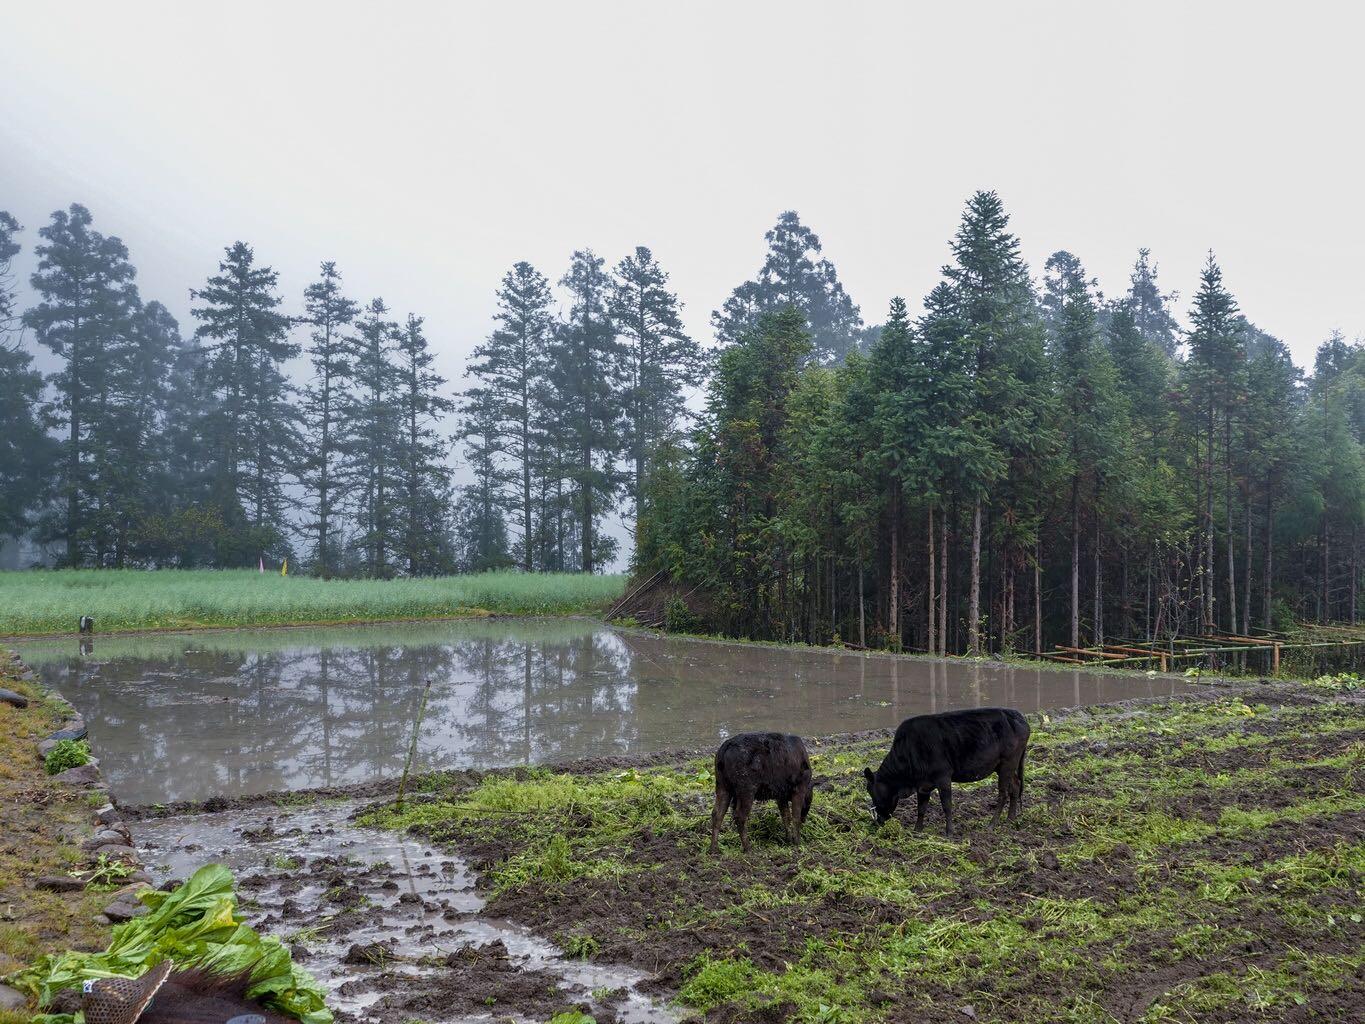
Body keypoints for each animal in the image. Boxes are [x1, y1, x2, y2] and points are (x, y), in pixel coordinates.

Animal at [868, 709, 1026, 835]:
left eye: (872, 792)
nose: (878, 821)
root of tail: (1017, 715)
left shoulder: (943, 776)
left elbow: (947, 805)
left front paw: (949, 832)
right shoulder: (923, 784)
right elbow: (921, 808)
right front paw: (917, 830)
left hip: (1007, 763)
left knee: (1003, 794)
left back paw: (992, 825)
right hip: (1004, 766)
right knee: (1015, 786)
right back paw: (1010, 820)